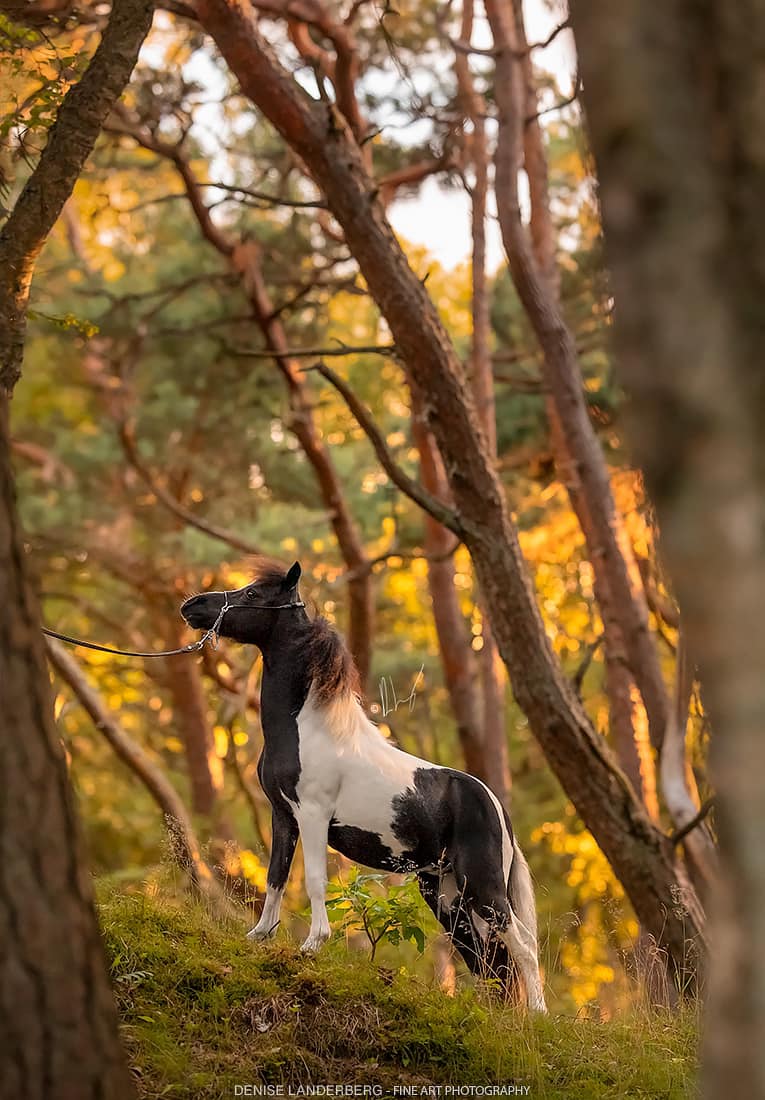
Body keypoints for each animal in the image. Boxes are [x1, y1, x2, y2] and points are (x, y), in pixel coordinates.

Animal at [181, 560, 546, 1011]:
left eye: (251, 594)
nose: (192, 606)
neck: (309, 727)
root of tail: (495, 806)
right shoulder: (283, 816)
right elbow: (275, 876)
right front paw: (259, 936)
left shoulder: (313, 815)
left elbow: (314, 879)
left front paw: (312, 945)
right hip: (446, 896)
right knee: (488, 960)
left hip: (482, 885)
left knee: (523, 946)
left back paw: (538, 1014)